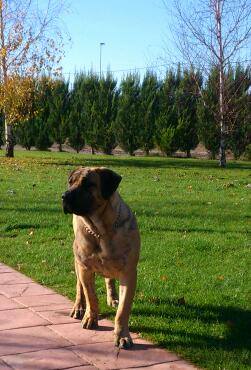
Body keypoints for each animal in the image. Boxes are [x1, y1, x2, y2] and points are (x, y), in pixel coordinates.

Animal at [62, 166, 141, 348]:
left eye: (88, 184)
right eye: (70, 182)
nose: (64, 196)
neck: (100, 229)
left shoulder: (129, 273)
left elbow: (123, 309)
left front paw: (122, 335)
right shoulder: (85, 267)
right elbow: (91, 296)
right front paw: (90, 318)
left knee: (109, 279)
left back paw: (112, 298)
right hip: (78, 261)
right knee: (79, 287)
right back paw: (79, 307)